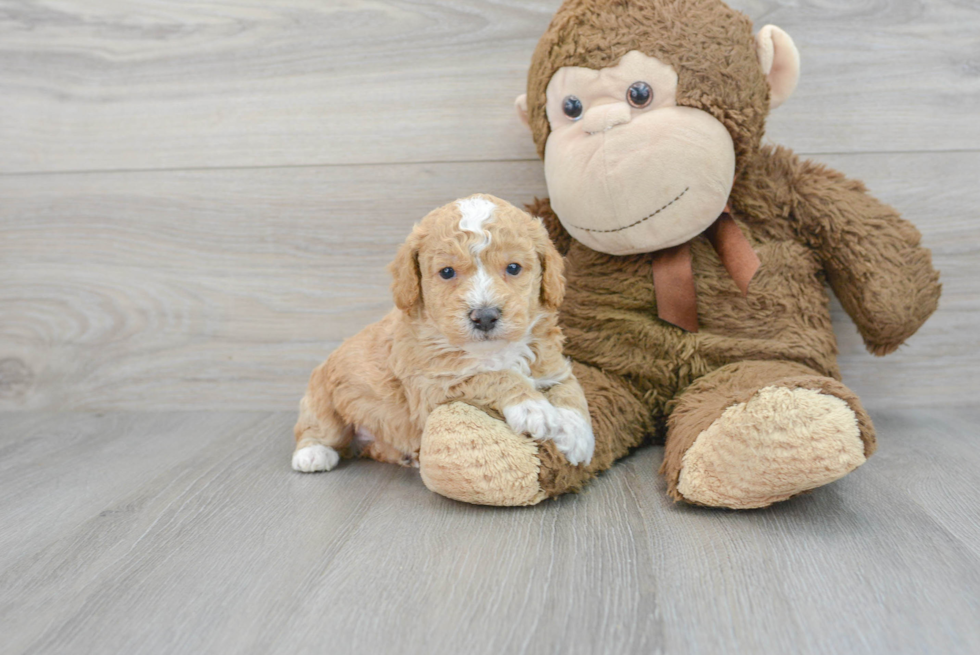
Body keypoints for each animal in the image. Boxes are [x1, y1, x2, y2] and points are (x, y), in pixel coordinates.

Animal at [290, 192, 592, 474]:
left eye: (514, 268)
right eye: (447, 272)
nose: (484, 316)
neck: (493, 350)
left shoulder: (553, 366)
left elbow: (571, 392)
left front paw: (577, 436)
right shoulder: (433, 388)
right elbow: (492, 375)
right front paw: (532, 407)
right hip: (323, 396)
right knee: (318, 428)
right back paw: (313, 453)